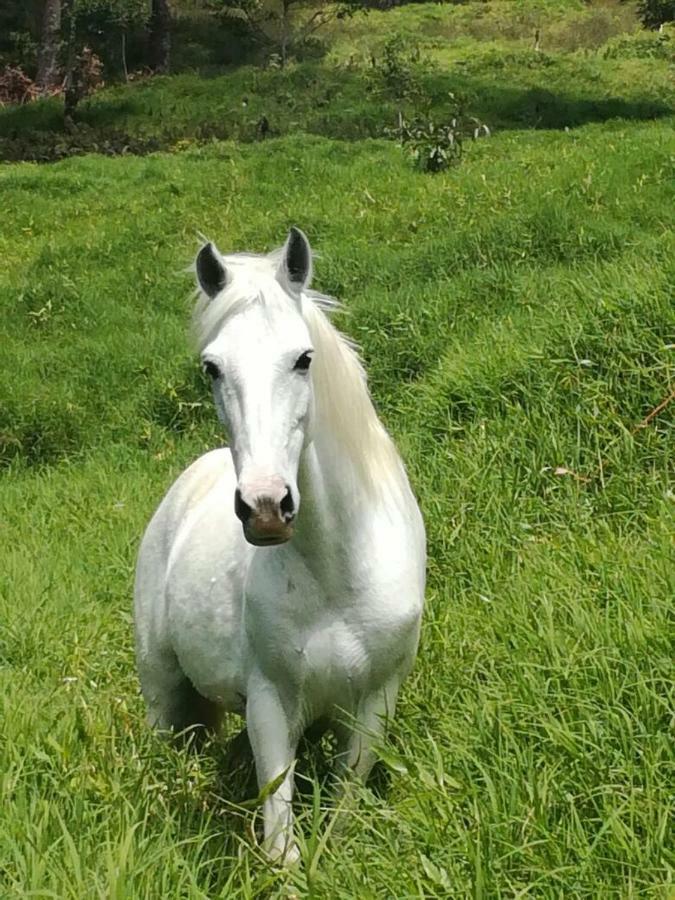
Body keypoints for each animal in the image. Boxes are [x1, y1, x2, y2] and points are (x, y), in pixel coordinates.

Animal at [134, 229, 426, 860]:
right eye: (212, 368)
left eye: (303, 358)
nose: (265, 506)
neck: (336, 577)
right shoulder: (270, 705)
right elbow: (280, 839)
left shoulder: (373, 703)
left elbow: (342, 809)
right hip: (163, 695)